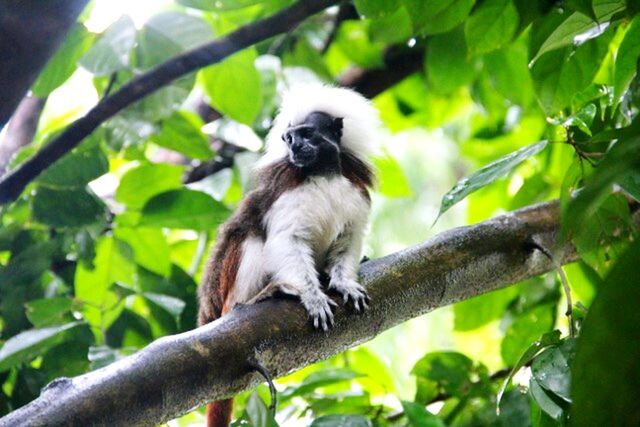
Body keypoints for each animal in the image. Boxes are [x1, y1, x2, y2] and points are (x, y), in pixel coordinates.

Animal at [198, 84, 378, 427]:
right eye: (288, 138)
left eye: (306, 134)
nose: (295, 147)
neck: (324, 174)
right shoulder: (287, 192)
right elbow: (285, 240)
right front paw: (313, 296)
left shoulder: (355, 192)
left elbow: (347, 241)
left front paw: (344, 282)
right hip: (225, 287)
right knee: (250, 234)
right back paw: (256, 298)